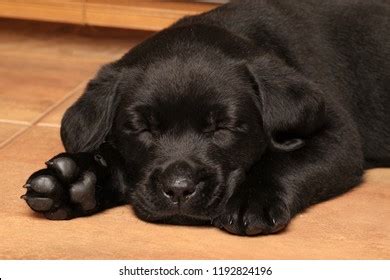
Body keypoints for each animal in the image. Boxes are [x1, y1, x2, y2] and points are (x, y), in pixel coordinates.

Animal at [22, 0, 390, 236]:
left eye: (223, 127)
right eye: (142, 128)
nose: (179, 189)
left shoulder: (338, 134)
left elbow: (287, 163)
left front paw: (252, 198)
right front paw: (74, 182)